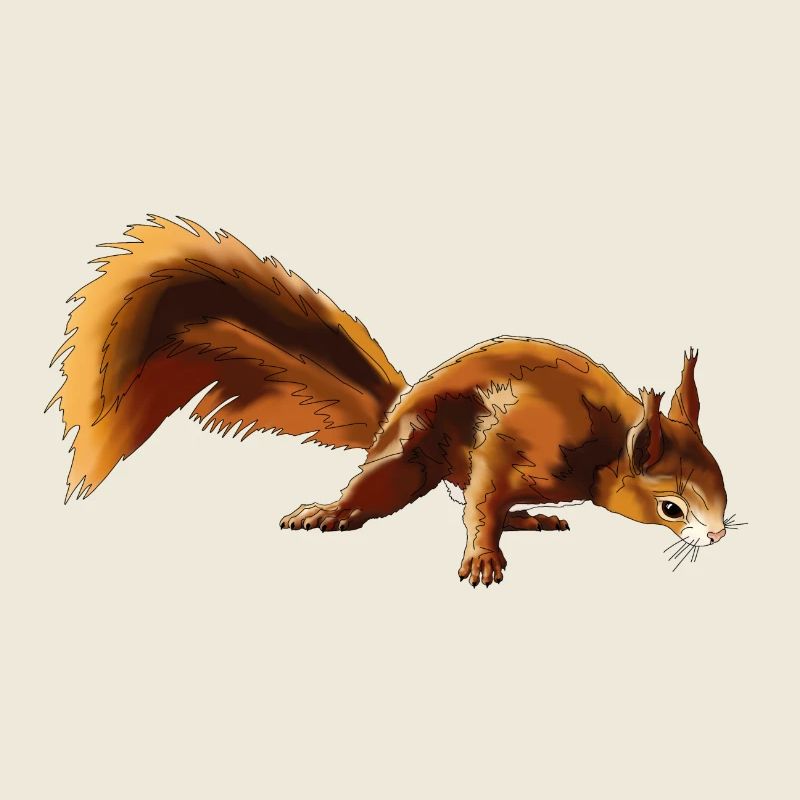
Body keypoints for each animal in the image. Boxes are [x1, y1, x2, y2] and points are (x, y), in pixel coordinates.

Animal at [50, 215, 731, 585]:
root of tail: (393, 413)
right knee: (391, 490)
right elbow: (483, 499)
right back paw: (331, 512)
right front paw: (482, 558)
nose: (720, 535)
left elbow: (482, 502)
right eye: (671, 508)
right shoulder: (515, 442)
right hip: (410, 453)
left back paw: (532, 519)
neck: (605, 443)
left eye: (723, 482)